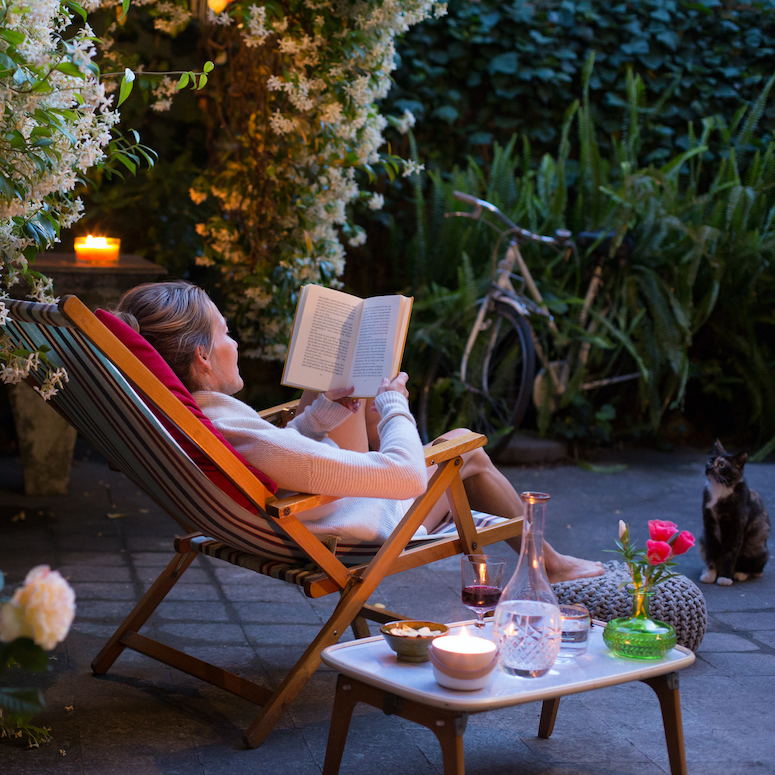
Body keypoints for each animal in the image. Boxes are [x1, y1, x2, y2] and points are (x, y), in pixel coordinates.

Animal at [704, 440, 768, 584]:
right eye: (710, 461)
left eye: (721, 465)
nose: (709, 468)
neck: (720, 488)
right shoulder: (709, 525)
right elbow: (711, 550)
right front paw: (710, 574)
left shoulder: (736, 528)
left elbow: (730, 553)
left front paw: (725, 577)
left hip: (754, 545)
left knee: (758, 569)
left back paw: (741, 573)